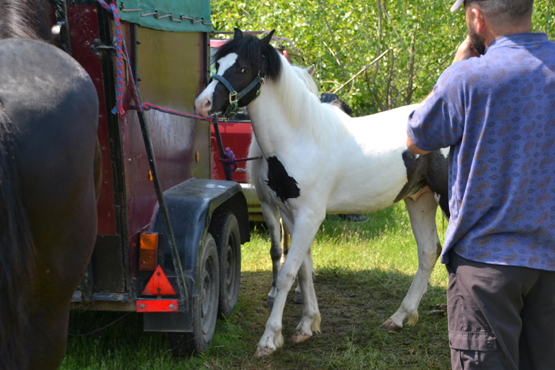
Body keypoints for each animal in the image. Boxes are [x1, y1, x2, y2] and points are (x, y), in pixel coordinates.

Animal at [198, 30, 450, 356]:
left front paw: (270, 338)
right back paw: (400, 317)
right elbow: (303, 270)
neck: (301, 136)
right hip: (419, 199)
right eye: (218, 64)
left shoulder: (309, 216)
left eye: (242, 68)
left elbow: (287, 273)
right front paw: (307, 325)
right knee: (429, 251)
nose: (203, 103)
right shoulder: (291, 215)